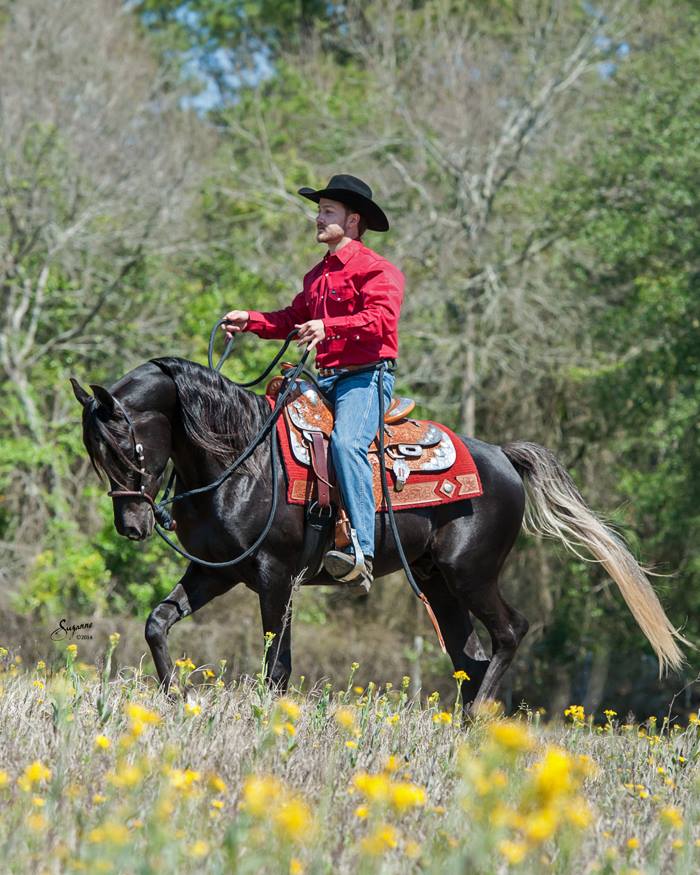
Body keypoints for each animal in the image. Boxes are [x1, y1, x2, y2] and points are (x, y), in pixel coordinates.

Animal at [72, 354, 688, 704]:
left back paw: (476, 724)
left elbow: (278, 665)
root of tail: (503, 458)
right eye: (94, 455)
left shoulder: (276, 576)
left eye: (125, 447)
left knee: (510, 633)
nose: (132, 525)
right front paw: (174, 698)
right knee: (470, 657)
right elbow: (157, 623)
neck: (242, 460)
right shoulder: (214, 572)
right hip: (438, 582)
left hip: (471, 573)